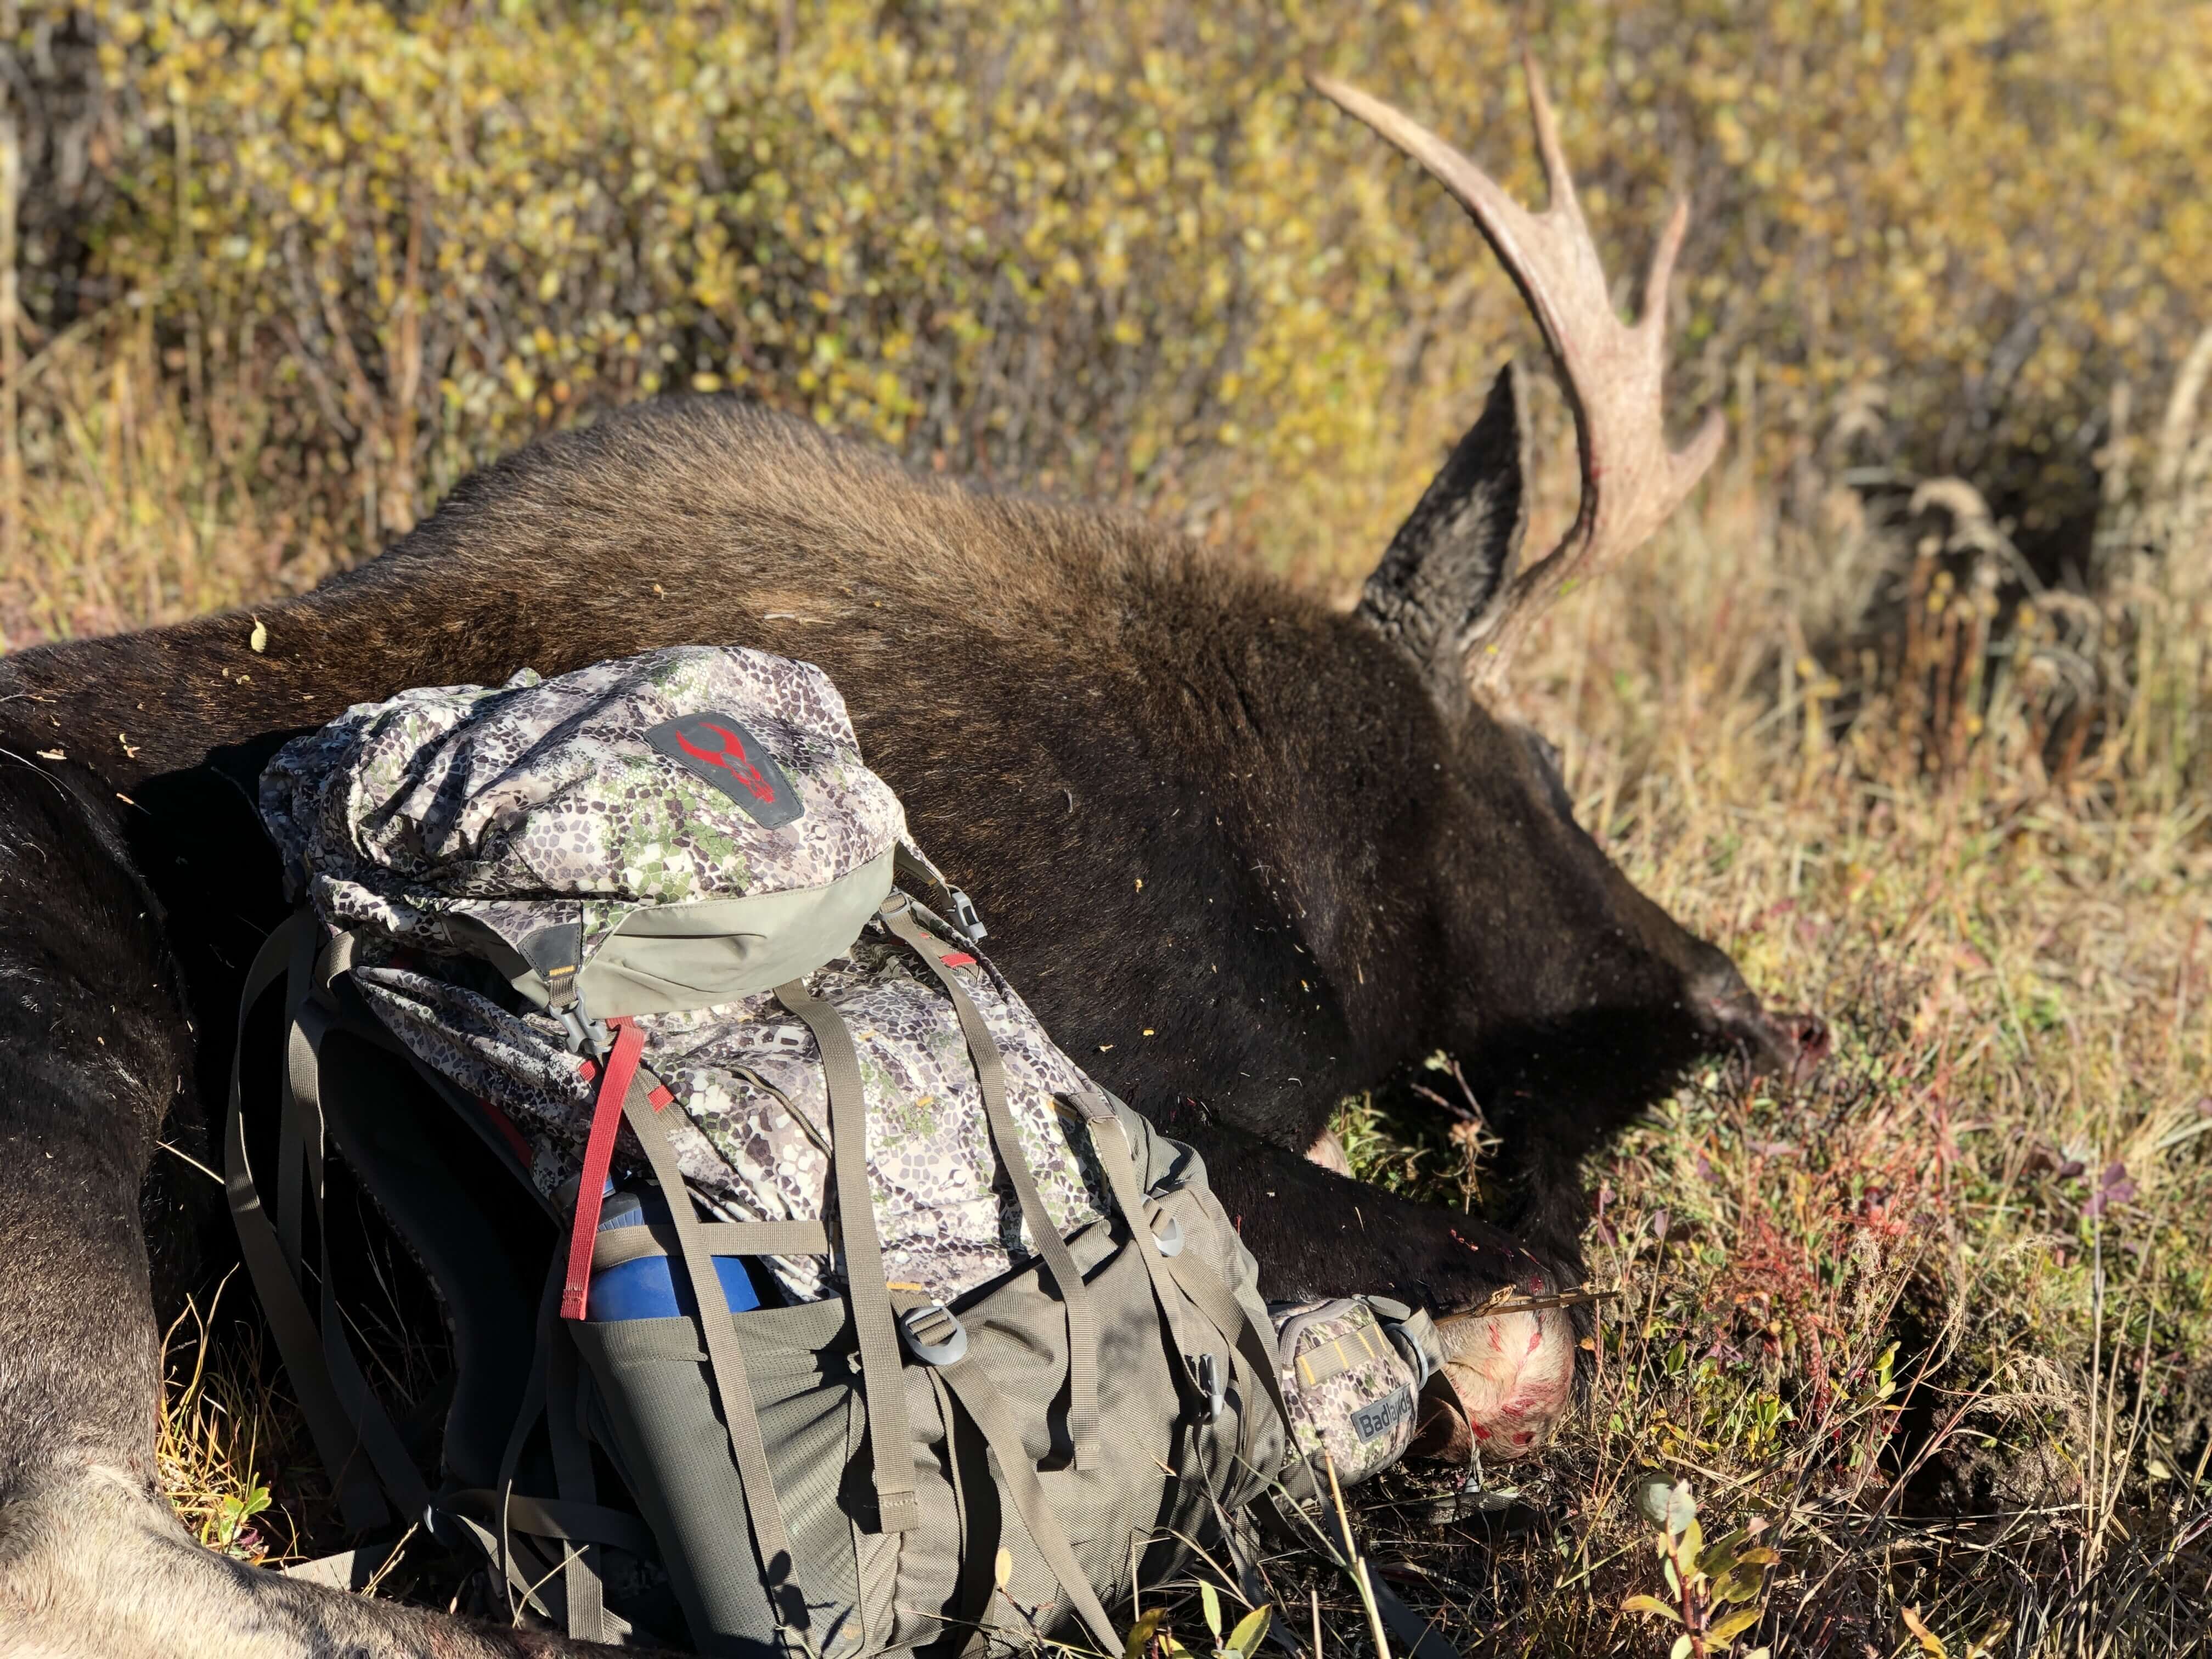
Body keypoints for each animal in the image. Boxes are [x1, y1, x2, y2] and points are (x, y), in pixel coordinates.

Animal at [0, 60, 1826, 1656]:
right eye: (1550, 768)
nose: (1753, 1008)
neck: (1294, 852)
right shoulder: (1154, 1098)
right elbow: (1527, 1295)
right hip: (68, 1082)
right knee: (92, 1560)